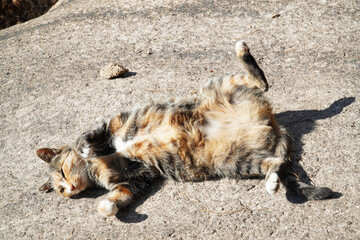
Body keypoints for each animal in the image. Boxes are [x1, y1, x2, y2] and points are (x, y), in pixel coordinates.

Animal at [35, 40, 334, 217]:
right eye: (60, 190)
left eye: (62, 173)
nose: (70, 188)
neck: (96, 167)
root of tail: (270, 121)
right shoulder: (137, 178)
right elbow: (120, 197)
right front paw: (106, 206)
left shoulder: (115, 122)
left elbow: (89, 136)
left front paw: (86, 148)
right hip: (236, 161)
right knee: (276, 165)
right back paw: (272, 182)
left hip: (222, 86)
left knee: (261, 81)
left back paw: (243, 51)